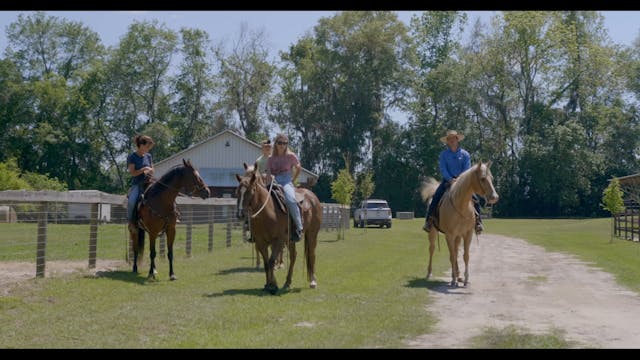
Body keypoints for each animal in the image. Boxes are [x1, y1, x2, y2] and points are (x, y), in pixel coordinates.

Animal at [235, 165, 322, 294]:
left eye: (250, 191)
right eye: (237, 192)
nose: (240, 214)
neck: (267, 213)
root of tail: (312, 196)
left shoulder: (278, 241)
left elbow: (271, 261)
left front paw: (273, 285)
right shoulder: (261, 242)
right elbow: (266, 263)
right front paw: (269, 284)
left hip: (312, 233)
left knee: (311, 254)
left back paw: (312, 281)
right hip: (291, 239)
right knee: (293, 256)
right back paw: (287, 282)